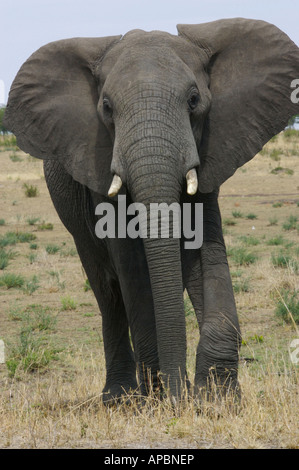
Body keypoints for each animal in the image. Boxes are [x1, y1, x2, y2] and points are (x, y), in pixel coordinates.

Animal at [4, 17, 299, 400]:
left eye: (194, 100)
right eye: (107, 108)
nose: (179, 395)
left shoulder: (212, 148)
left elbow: (205, 248)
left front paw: (216, 398)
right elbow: (130, 264)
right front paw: (161, 398)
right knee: (107, 291)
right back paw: (119, 398)